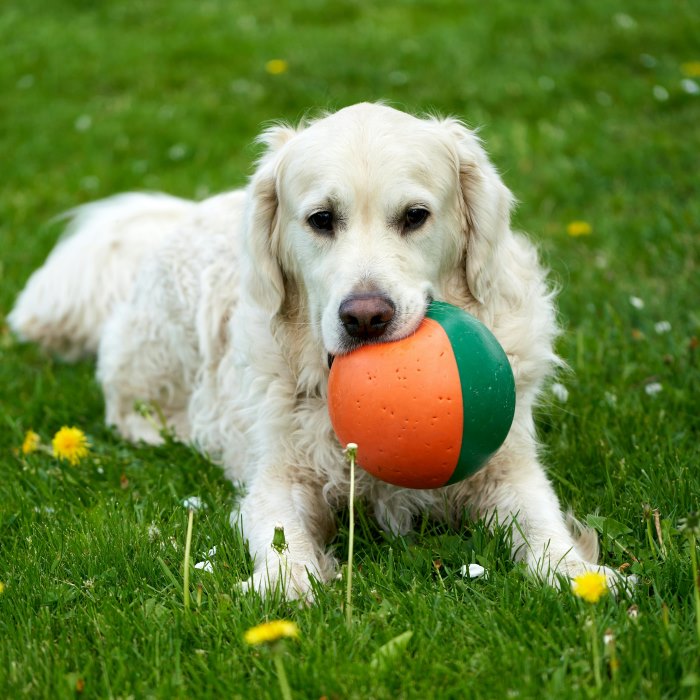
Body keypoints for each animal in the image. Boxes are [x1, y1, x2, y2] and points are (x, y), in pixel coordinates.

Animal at [8, 101, 628, 600]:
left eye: (415, 216)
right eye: (321, 219)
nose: (366, 317)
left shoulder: (507, 466)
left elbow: (542, 525)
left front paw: (578, 575)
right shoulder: (278, 478)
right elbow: (281, 536)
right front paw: (288, 584)